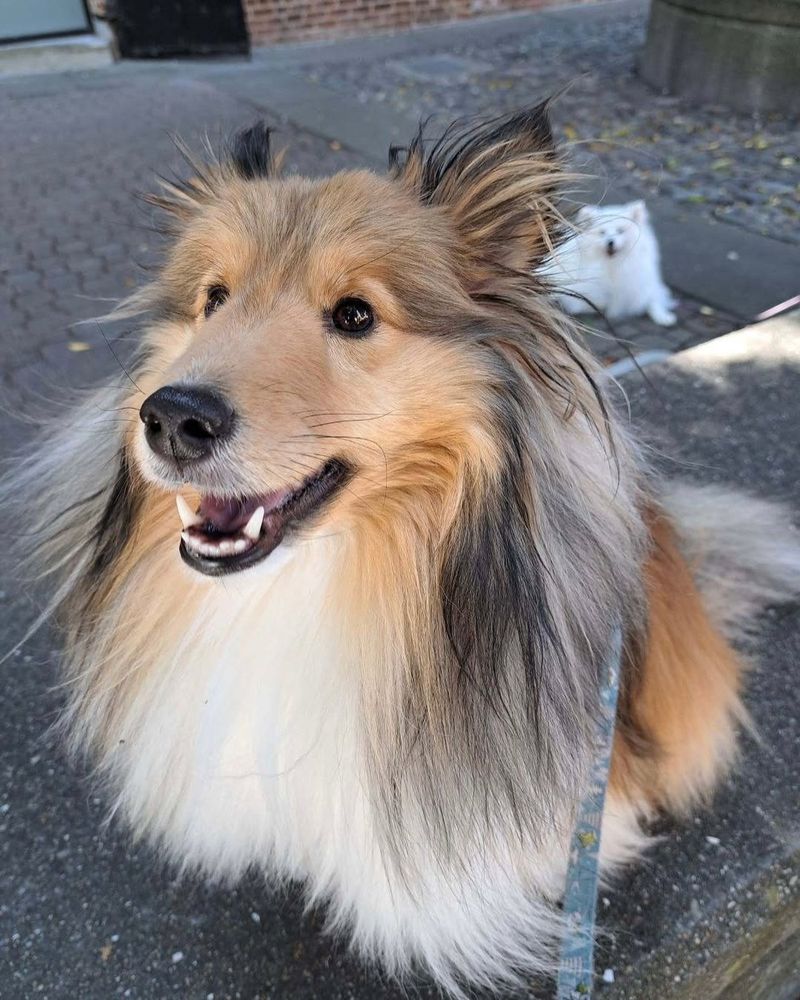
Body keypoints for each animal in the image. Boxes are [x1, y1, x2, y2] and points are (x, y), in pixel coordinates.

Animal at [552, 201, 680, 326]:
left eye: (620, 231)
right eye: (602, 232)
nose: (610, 242)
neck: (614, 264)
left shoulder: (643, 284)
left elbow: (653, 300)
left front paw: (663, 317)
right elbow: (593, 302)